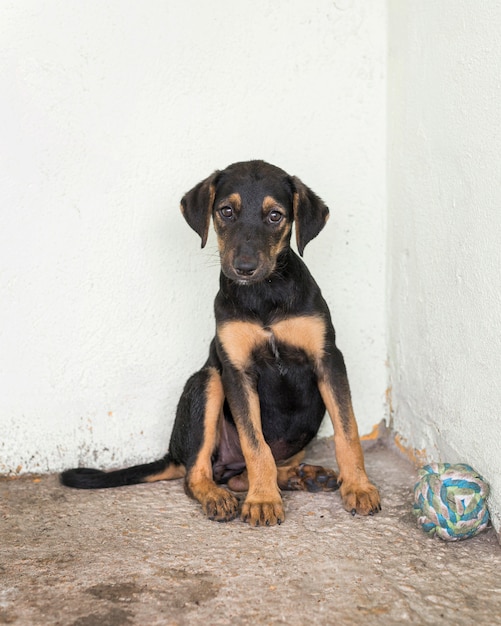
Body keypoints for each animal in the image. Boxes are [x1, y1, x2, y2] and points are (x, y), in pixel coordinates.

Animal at [63, 161, 382, 528]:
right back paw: (220, 496)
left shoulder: (328, 359)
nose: (244, 268)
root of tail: (174, 453)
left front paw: (358, 487)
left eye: (275, 216)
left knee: (240, 476)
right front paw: (263, 500)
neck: (264, 294)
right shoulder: (236, 371)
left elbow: (348, 431)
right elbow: (255, 444)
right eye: (226, 211)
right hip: (208, 382)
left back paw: (302, 476)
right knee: (198, 475)